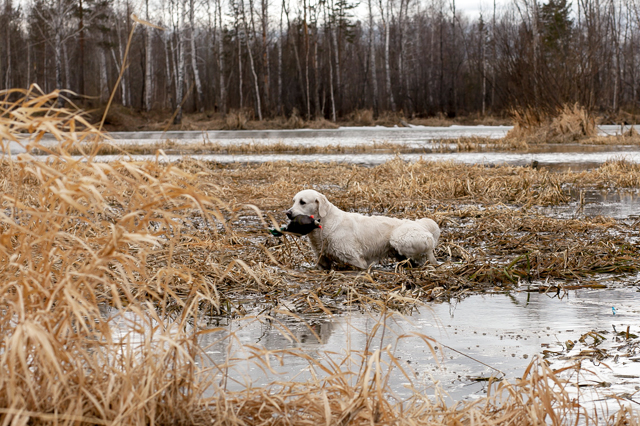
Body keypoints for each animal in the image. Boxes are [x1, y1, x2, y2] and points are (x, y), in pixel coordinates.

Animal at [286, 190, 440, 270]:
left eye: (303, 202)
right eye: (293, 201)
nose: (287, 213)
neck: (325, 224)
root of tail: (422, 225)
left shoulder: (355, 259)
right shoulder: (322, 260)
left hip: (400, 239)